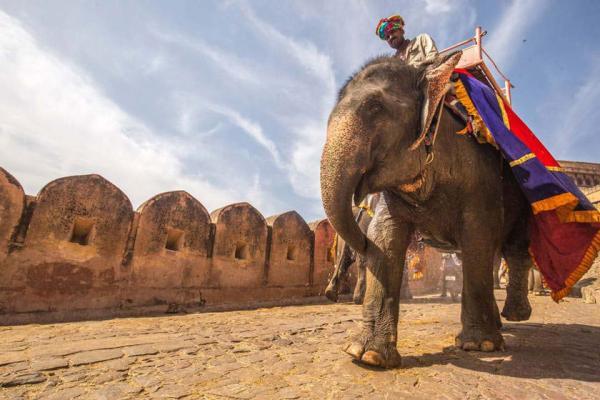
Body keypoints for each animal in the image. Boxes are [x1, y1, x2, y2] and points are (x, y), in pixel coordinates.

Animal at [322, 52, 532, 368]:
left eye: (375, 107)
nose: (361, 241)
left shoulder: (480, 176)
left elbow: (478, 236)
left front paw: (479, 346)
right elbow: (385, 237)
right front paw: (368, 356)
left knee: (514, 249)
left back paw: (515, 316)